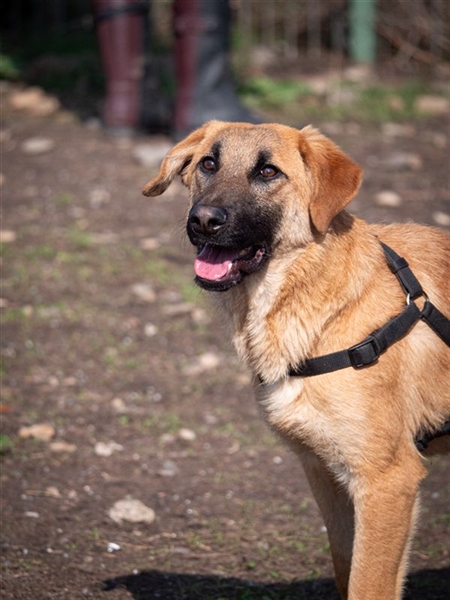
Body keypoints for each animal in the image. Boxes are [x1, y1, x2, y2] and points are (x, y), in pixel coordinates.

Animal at [143, 121, 450, 600]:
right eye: (208, 164)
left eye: (268, 172)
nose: (204, 221)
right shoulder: (326, 475)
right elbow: (347, 570)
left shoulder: (387, 481)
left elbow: (367, 585)